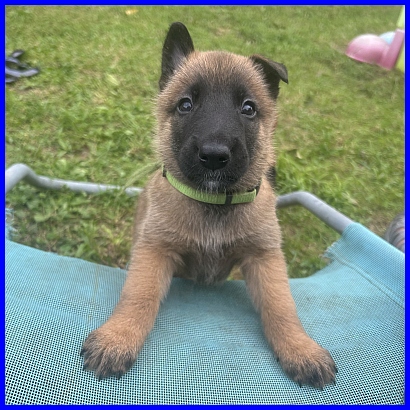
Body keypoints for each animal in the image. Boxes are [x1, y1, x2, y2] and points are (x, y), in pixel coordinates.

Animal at [81, 22, 337, 389]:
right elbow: (138, 295)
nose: (214, 155)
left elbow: (281, 306)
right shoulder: (154, 249)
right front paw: (117, 338)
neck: (214, 204)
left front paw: (301, 349)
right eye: (185, 105)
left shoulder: (264, 257)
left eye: (248, 108)